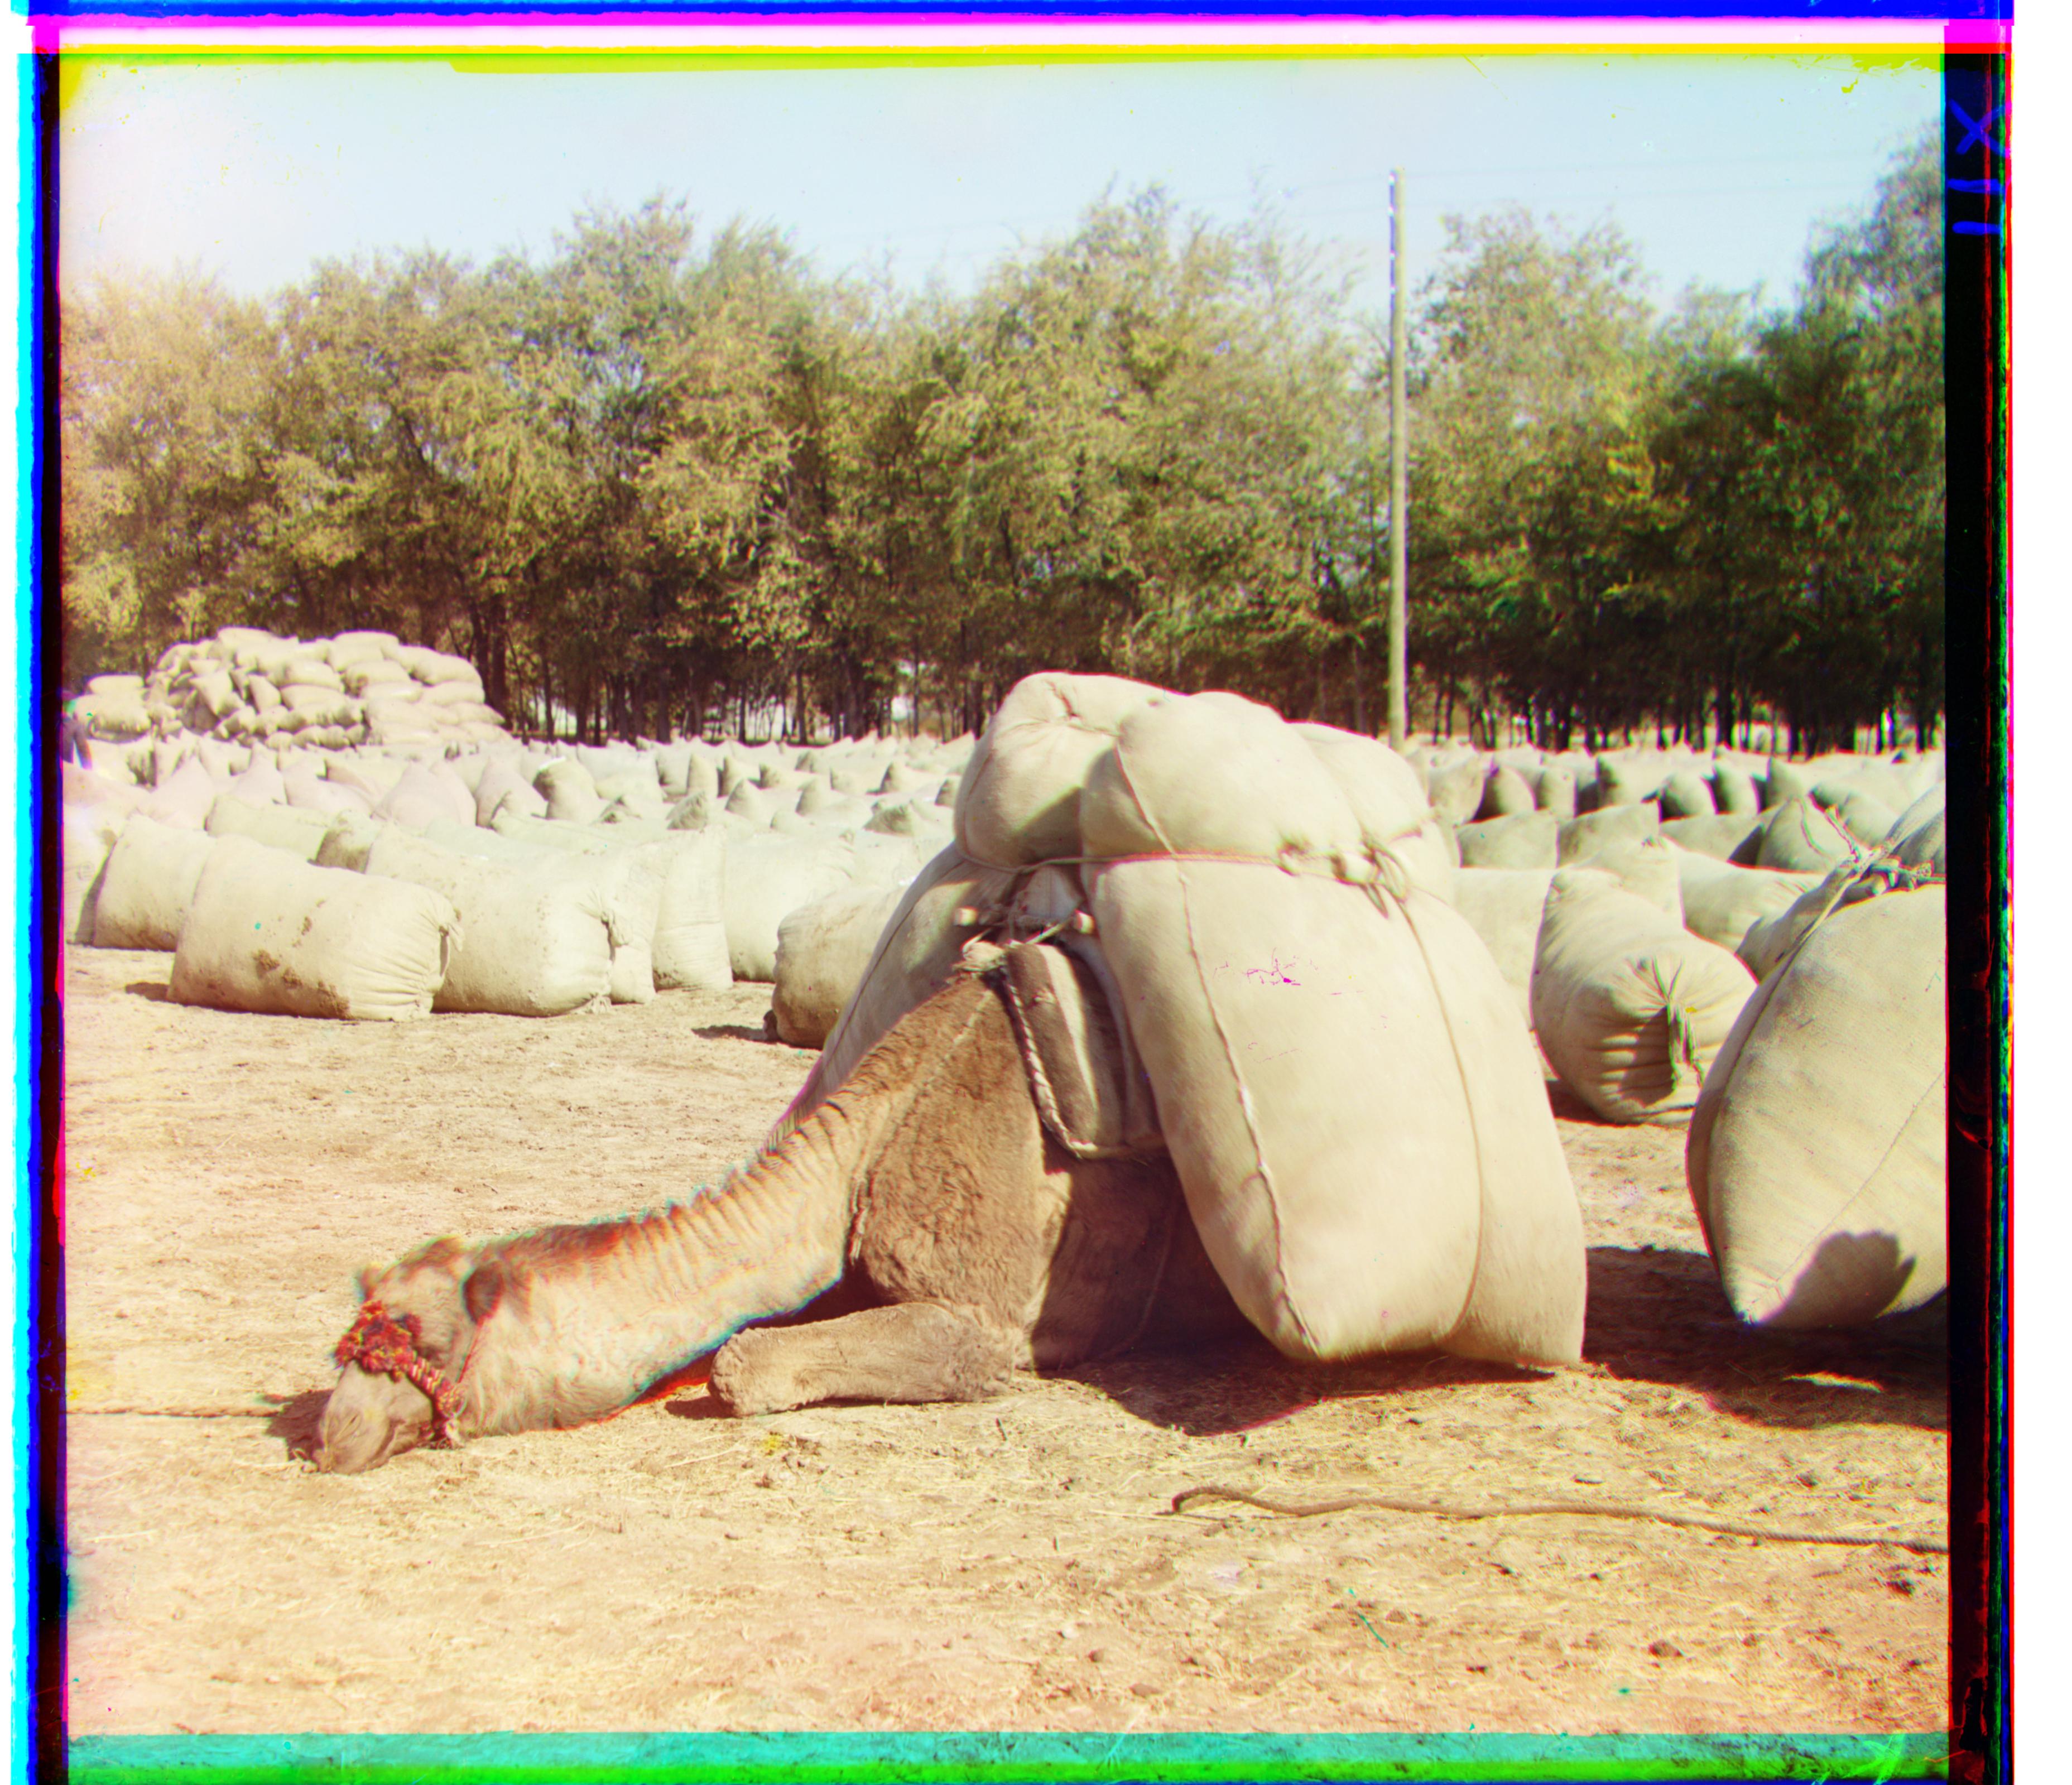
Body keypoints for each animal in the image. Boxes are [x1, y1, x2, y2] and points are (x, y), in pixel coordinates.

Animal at [314, 944, 1251, 1472]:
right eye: (348, 1342)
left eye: (425, 1339)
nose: (329, 1436)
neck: (862, 1147)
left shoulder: (986, 1324)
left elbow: (737, 1364)